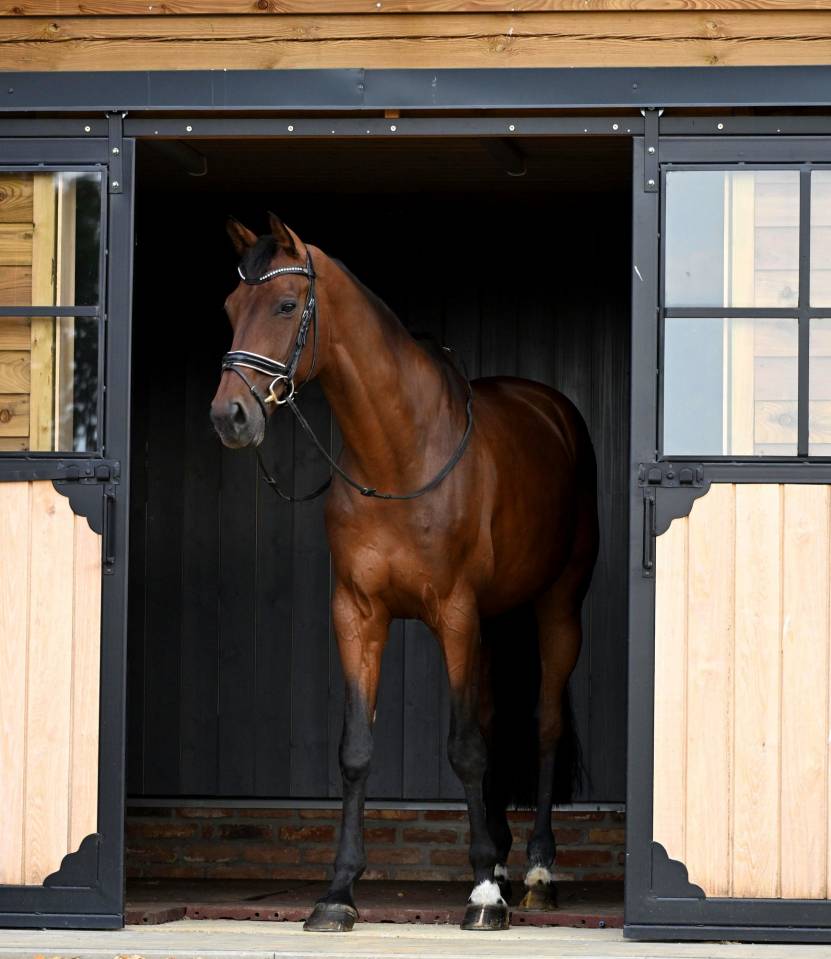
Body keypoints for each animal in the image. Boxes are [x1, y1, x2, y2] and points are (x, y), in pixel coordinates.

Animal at [210, 214, 599, 933]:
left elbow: (465, 747)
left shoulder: (454, 612)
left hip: (557, 609)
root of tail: (553, 410)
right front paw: (338, 892)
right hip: (491, 624)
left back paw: (534, 871)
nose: (230, 416)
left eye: (285, 305)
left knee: (545, 725)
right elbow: (358, 750)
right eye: (229, 307)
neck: (397, 456)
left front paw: (483, 896)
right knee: (493, 717)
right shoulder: (358, 613)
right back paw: (503, 859)